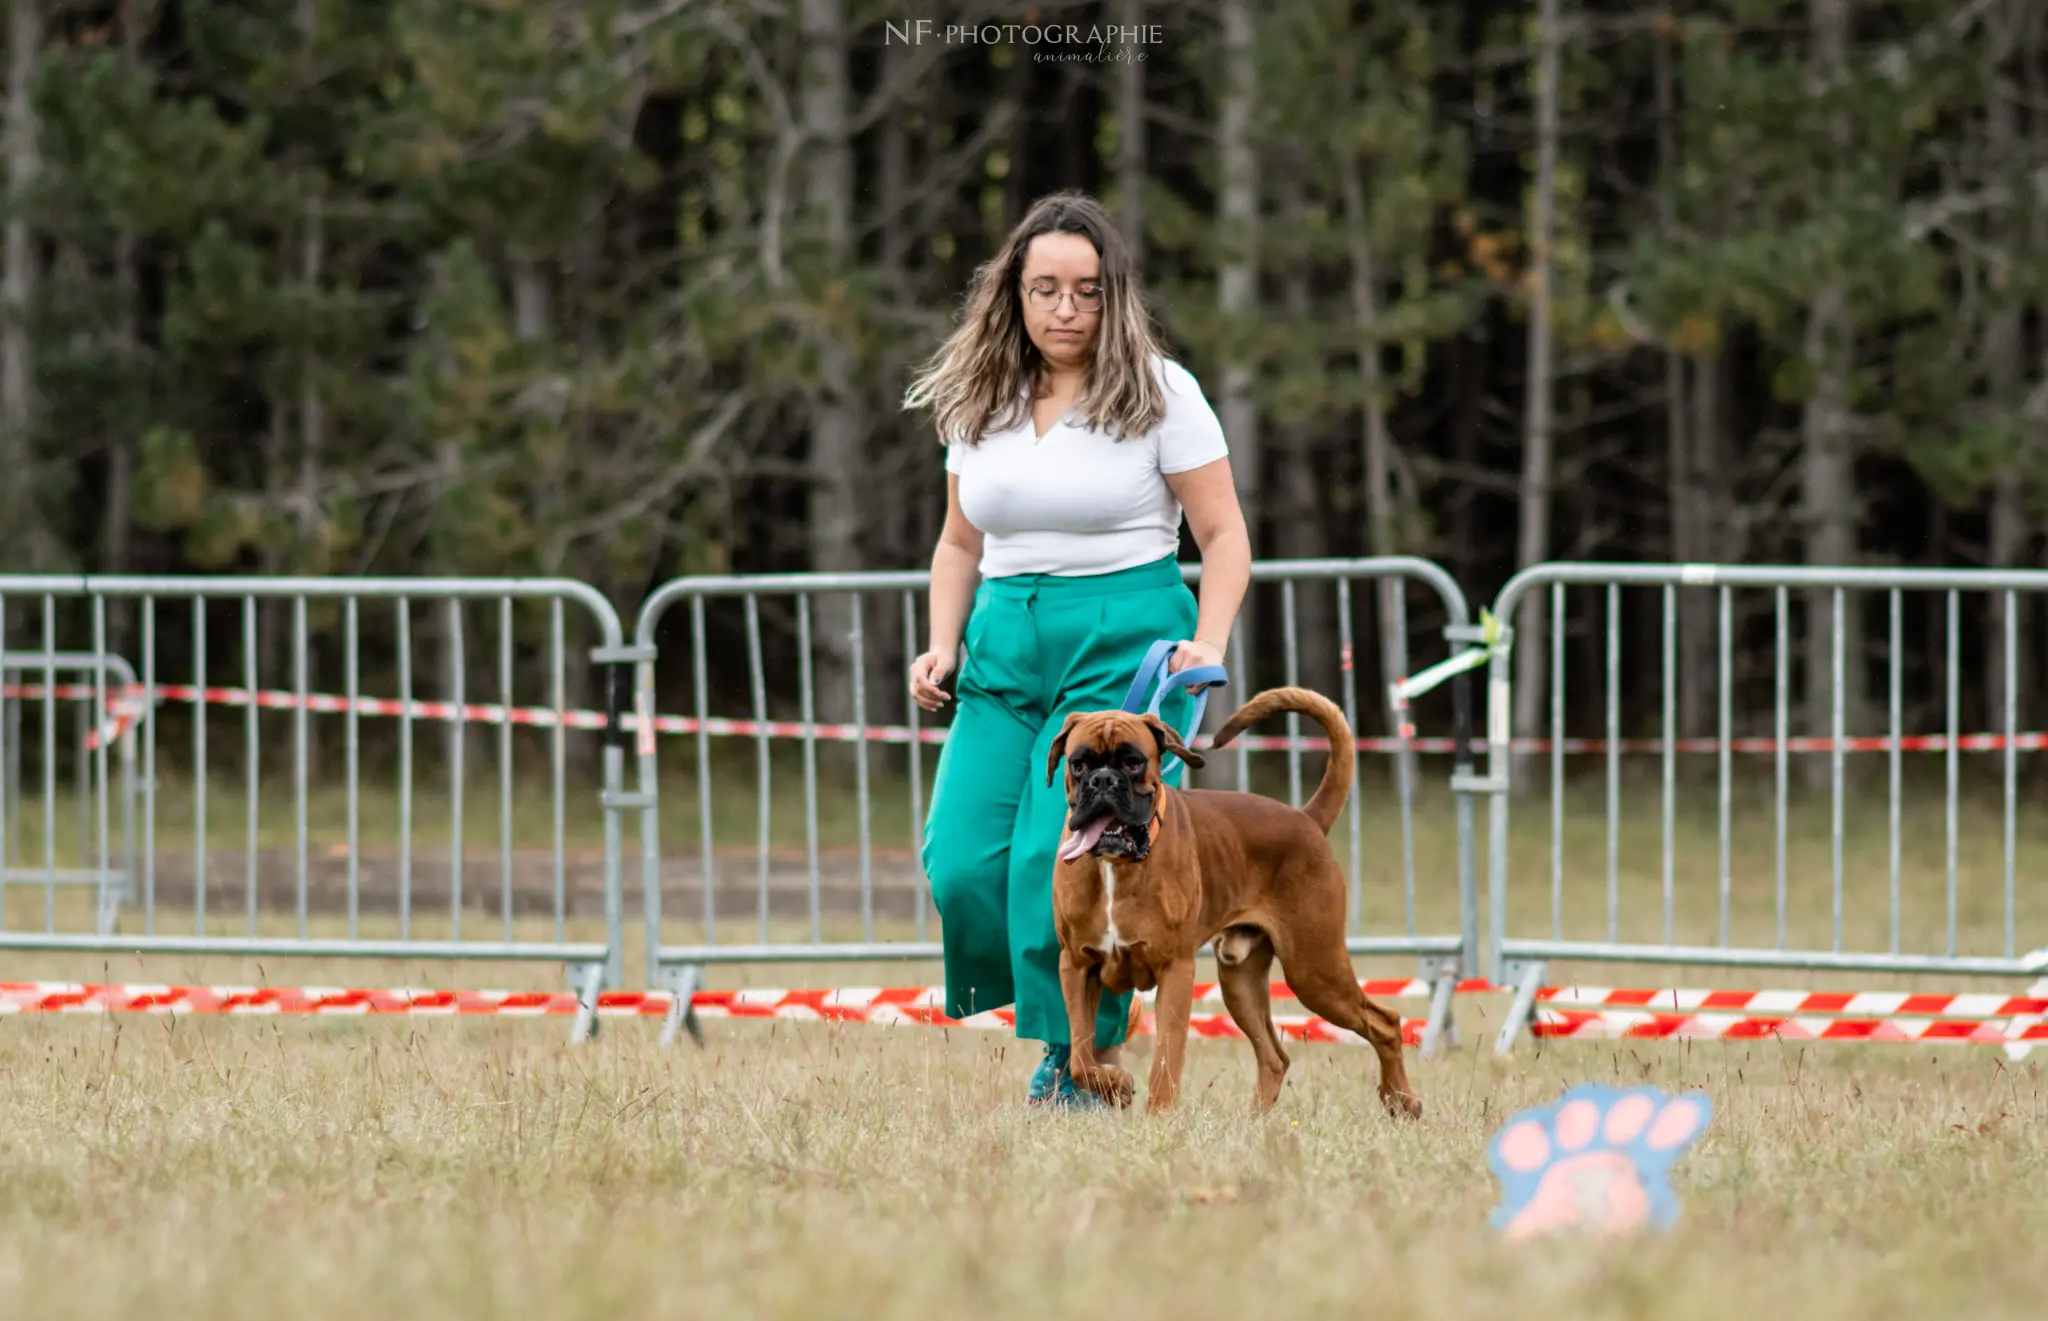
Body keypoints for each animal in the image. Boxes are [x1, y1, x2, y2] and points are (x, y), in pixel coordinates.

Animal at [1048, 692, 1417, 1114]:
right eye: (1078, 764)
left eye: (1133, 763)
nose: (1103, 780)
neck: (1115, 866)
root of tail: (1305, 817)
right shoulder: (1076, 966)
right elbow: (1080, 1056)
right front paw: (1116, 1086)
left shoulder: (1175, 970)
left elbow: (1166, 1054)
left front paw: (1157, 1114)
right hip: (1240, 982)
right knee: (1275, 1056)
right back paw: (1256, 1120)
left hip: (1315, 972)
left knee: (1385, 1022)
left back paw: (1402, 1101)